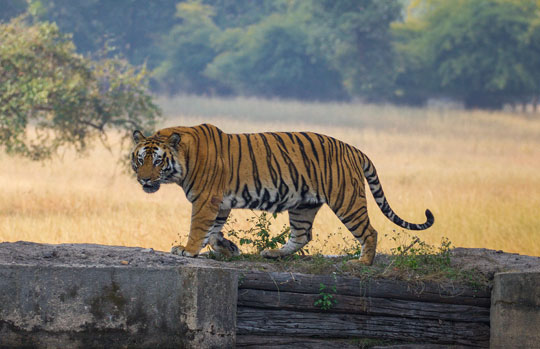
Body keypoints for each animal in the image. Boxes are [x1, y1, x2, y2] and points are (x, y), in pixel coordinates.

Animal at [132, 123, 434, 266]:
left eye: (157, 161)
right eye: (140, 159)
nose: (144, 179)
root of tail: (353, 148)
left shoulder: (206, 199)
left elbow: (198, 228)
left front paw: (187, 250)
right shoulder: (220, 203)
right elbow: (214, 231)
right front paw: (228, 248)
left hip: (347, 200)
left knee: (369, 231)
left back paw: (362, 262)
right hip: (304, 205)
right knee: (302, 236)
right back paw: (273, 253)